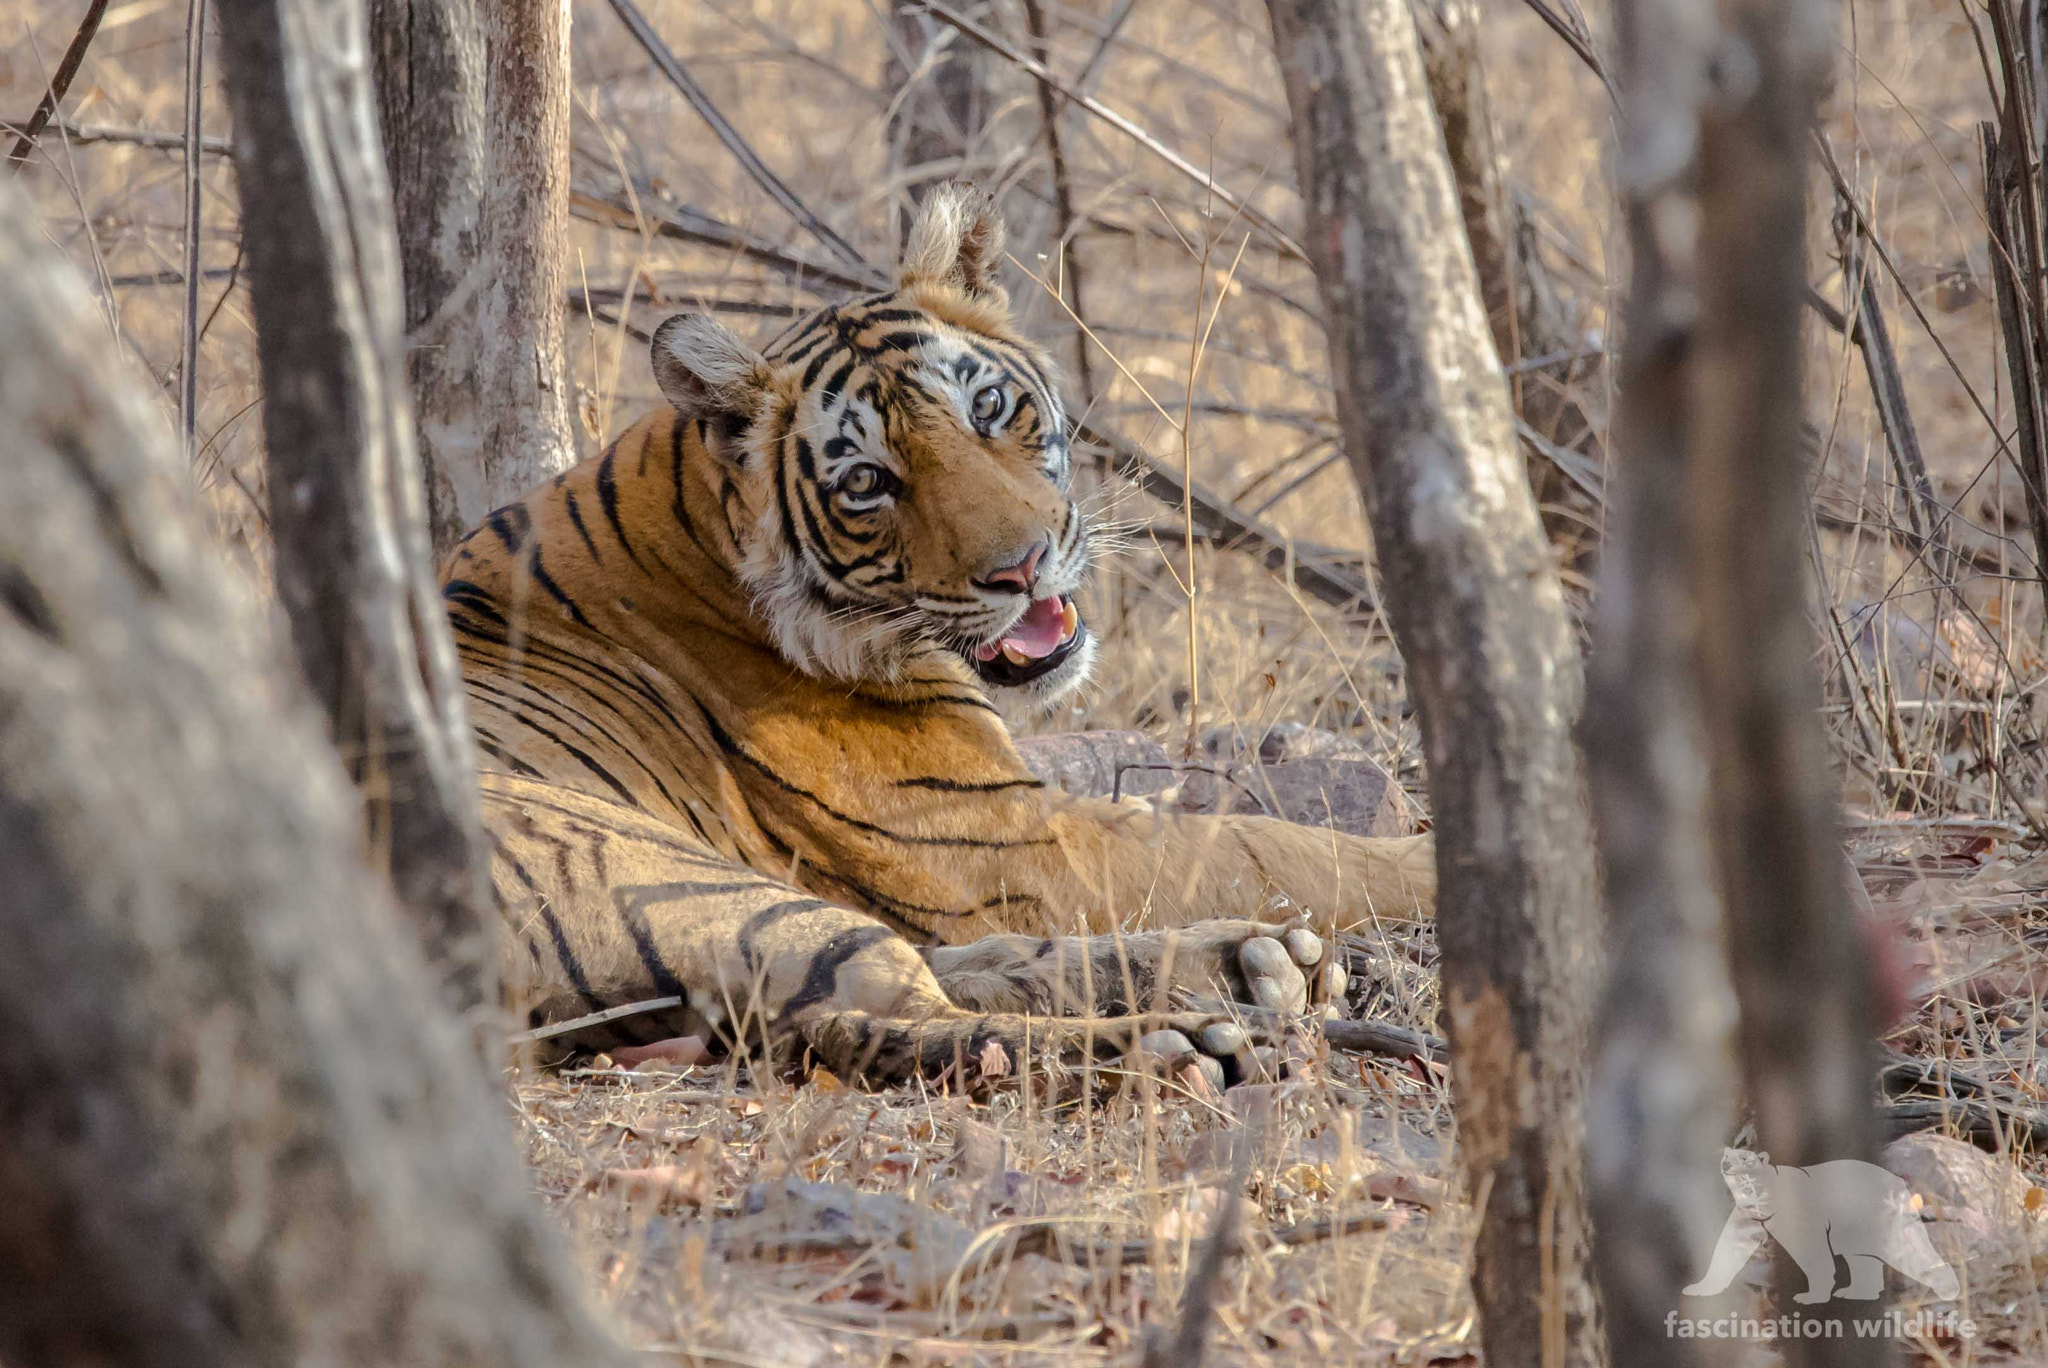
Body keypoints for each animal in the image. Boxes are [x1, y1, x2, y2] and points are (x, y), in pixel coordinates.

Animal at [446, 184, 1436, 1089]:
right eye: (866, 482)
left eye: (988, 407)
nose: (1023, 567)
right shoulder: (1021, 841)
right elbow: (1271, 843)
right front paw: (1432, 864)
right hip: (677, 873)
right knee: (884, 1021)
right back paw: (1193, 1037)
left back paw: (1251, 962)